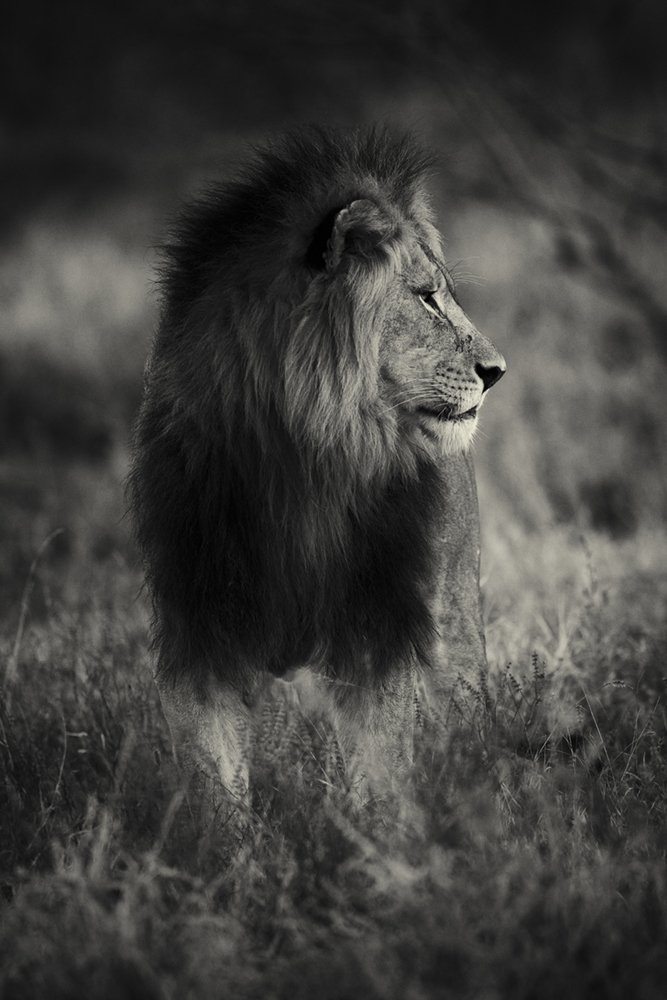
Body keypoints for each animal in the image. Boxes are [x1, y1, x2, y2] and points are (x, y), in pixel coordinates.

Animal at [129, 126, 505, 812]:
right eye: (426, 298)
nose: (498, 371)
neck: (299, 456)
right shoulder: (197, 627)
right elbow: (214, 783)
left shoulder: (378, 624)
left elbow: (380, 774)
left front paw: (377, 839)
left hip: (456, 616)